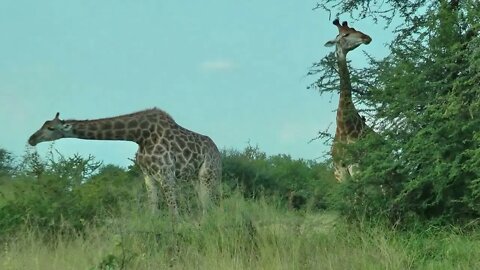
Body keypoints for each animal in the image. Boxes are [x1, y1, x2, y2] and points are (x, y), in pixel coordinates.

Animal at [26, 107, 221, 215]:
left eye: (51, 128)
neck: (140, 136)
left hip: (208, 174)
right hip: (195, 177)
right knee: (205, 204)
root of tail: (218, 152)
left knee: (209, 204)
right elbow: (153, 210)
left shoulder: (166, 173)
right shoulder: (149, 176)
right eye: (43, 124)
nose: (31, 139)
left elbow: (174, 211)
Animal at [324, 19, 374, 182]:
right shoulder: (342, 172)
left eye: (354, 28)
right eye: (345, 34)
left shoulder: (357, 166)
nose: (366, 37)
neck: (344, 127)